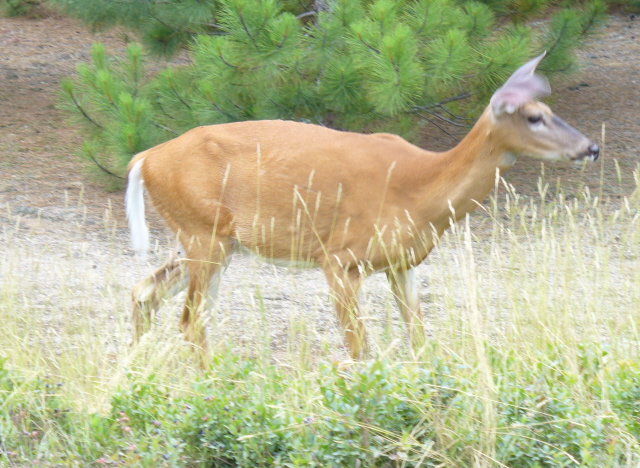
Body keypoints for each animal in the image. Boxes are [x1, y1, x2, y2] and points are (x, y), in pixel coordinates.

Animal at [125, 53, 599, 363]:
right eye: (534, 117)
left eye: (548, 109)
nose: (591, 147)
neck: (420, 194)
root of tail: (145, 157)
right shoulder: (338, 258)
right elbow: (360, 350)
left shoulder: (404, 263)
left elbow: (419, 339)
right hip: (203, 233)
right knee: (190, 321)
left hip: (210, 239)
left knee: (145, 292)